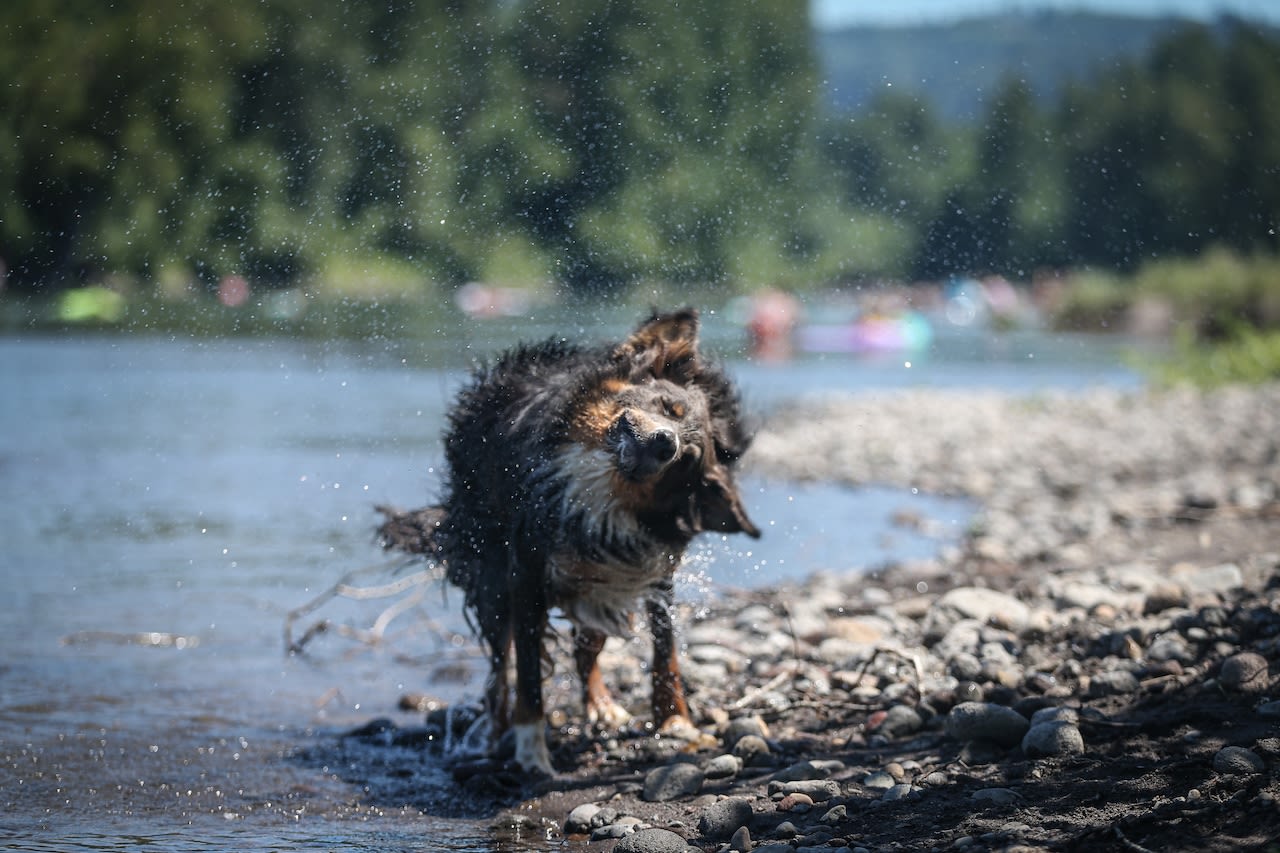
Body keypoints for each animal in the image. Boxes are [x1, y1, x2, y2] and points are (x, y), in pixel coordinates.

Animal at [378, 308, 757, 773]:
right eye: (668, 407)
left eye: (686, 460)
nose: (665, 443)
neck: (599, 484)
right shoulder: (524, 576)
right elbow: (527, 675)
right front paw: (531, 749)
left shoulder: (650, 571)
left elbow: (665, 650)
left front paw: (675, 720)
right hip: (495, 581)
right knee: (499, 670)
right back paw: (496, 731)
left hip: (602, 584)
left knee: (585, 647)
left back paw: (601, 704)